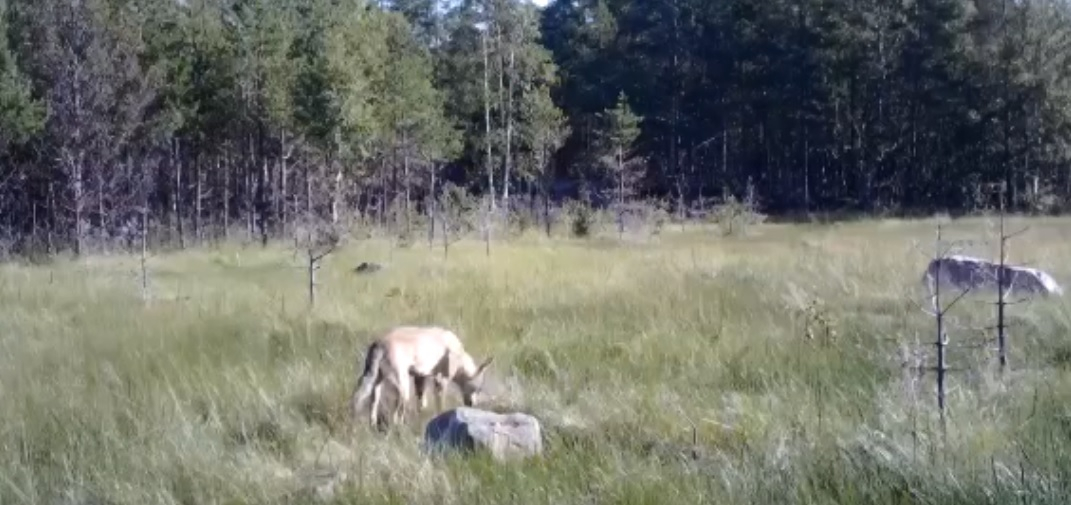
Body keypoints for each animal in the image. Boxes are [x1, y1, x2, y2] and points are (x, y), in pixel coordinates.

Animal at [349, 325, 495, 428]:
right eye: (478, 388)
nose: (472, 405)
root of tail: (380, 344)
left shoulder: (420, 378)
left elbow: (422, 404)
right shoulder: (440, 381)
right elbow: (440, 407)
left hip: (374, 384)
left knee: (364, 403)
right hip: (403, 390)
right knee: (395, 417)